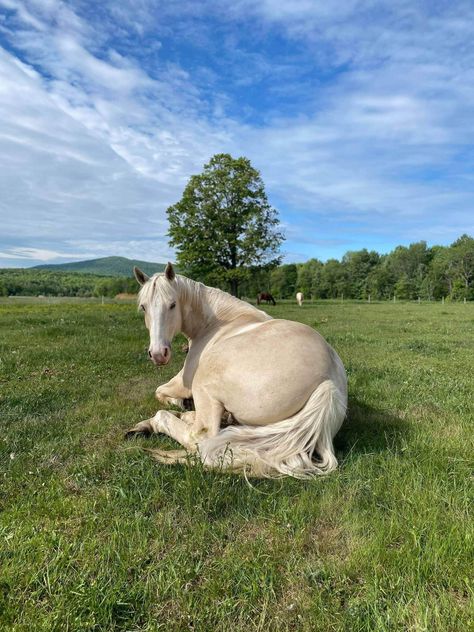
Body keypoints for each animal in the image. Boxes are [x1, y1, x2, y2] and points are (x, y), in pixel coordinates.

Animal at [127, 262, 348, 478]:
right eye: (143, 307)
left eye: (172, 304)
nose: (158, 354)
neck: (214, 324)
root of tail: (328, 383)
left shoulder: (184, 382)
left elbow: (159, 392)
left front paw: (179, 403)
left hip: (204, 385)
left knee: (194, 433)